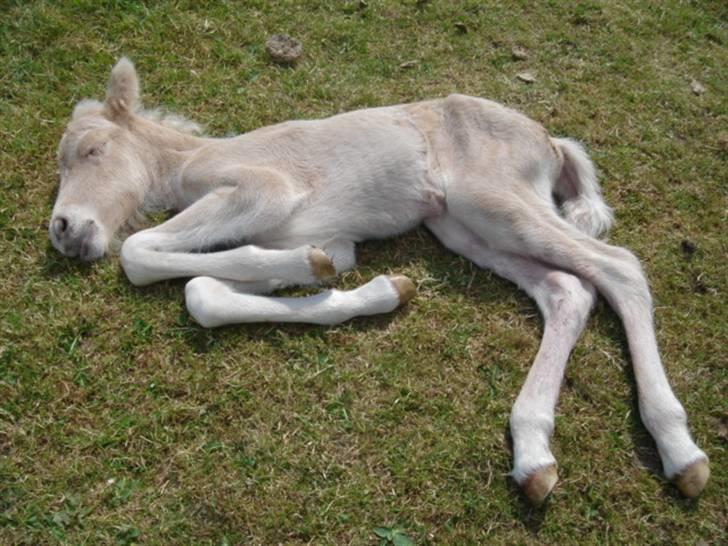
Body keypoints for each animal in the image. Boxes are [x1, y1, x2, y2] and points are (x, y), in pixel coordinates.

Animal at [51, 58, 712, 502]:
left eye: (91, 150)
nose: (63, 229)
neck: (194, 162)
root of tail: (549, 141)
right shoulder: (312, 236)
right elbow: (208, 292)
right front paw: (362, 286)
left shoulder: (264, 191)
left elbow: (138, 253)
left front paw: (312, 269)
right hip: (462, 227)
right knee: (567, 290)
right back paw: (533, 456)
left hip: (492, 199)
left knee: (619, 267)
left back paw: (679, 451)